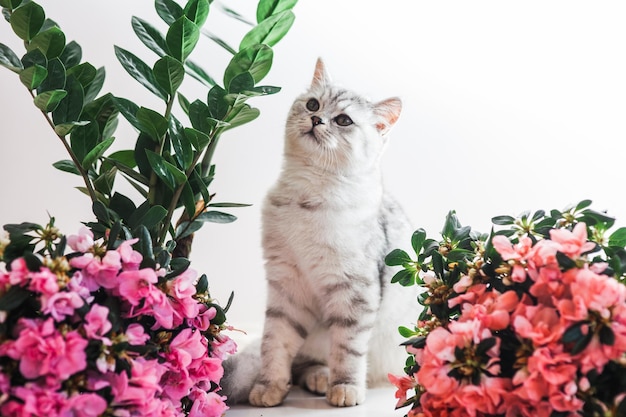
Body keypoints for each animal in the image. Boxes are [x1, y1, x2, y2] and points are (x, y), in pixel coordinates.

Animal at [219, 57, 420, 406]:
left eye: (343, 120)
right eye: (313, 104)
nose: (316, 119)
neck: (307, 196)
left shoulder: (354, 291)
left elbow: (348, 350)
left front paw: (345, 388)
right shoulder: (286, 289)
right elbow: (275, 344)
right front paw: (269, 387)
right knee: (301, 363)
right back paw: (316, 377)